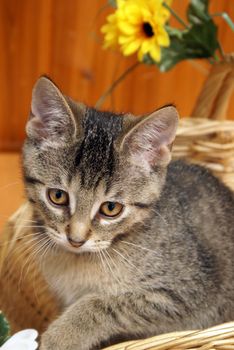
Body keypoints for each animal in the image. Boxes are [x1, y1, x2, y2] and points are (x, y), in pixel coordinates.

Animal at [22, 76, 234, 350]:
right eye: (57, 196)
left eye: (111, 209)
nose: (76, 239)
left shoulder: (189, 292)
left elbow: (105, 303)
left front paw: (61, 336)